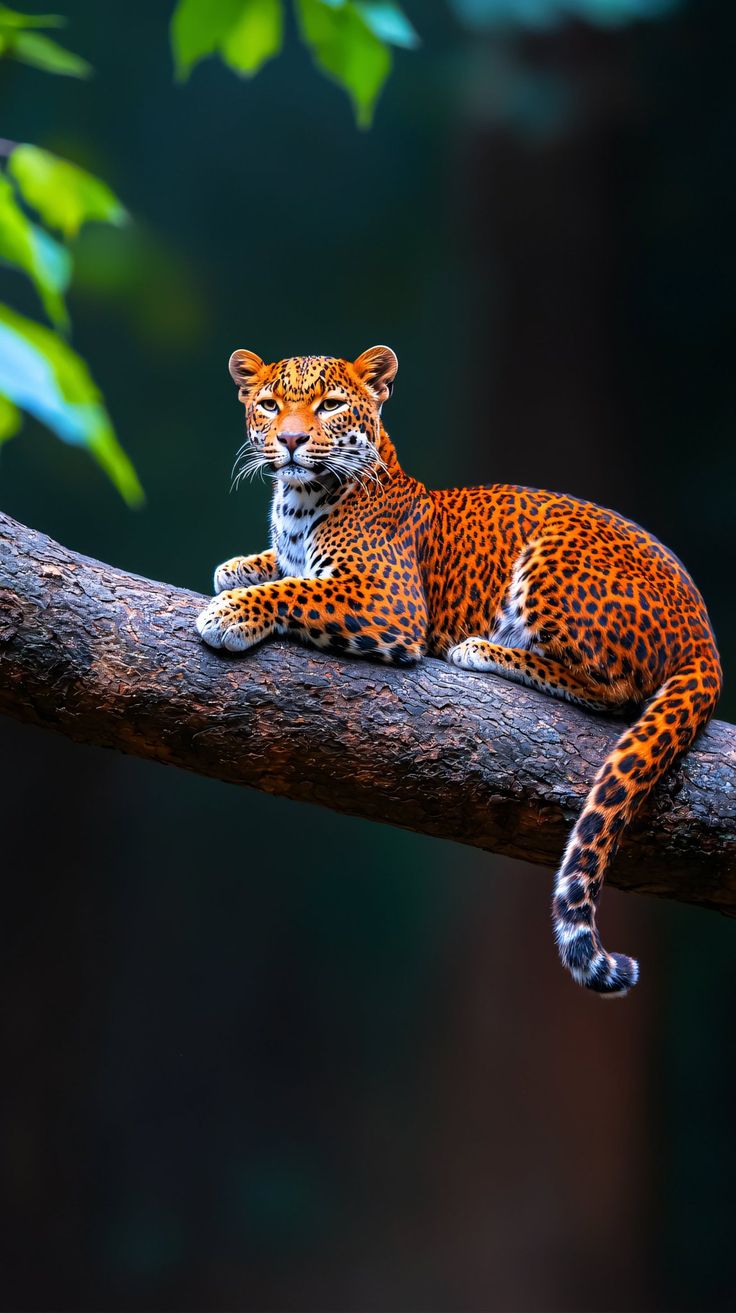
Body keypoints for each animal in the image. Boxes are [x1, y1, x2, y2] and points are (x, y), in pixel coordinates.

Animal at [196, 345, 722, 997]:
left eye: (331, 404)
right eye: (270, 405)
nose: (291, 441)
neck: (297, 502)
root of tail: (704, 632)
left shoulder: (385, 601)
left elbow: (295, 592)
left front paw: (230, 612)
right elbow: (274, 570)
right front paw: (239, 567)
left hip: (551, 554)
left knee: (614, 691)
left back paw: (484, 649)